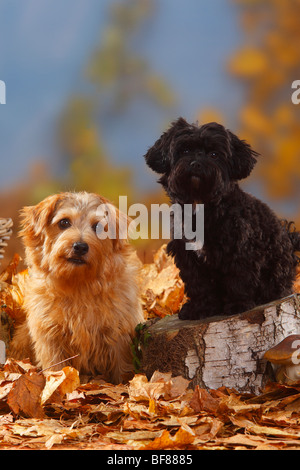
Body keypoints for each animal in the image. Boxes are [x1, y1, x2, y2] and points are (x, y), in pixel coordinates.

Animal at [10, 191, 144, 382]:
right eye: (64, 222)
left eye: (98, 227)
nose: (80, 246)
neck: (79, 284)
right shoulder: (49, 336)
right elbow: (56, 367)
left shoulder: (119, 332)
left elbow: (122, 368)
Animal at [145, 119, 300, 322]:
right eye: (185, 150)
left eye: (214, 154)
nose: (196, 164)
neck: (200, 205)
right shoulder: (188, 256)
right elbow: (198, 285)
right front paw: (200, 308)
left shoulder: (240, 250)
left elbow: (238, 278)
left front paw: (237, 305)